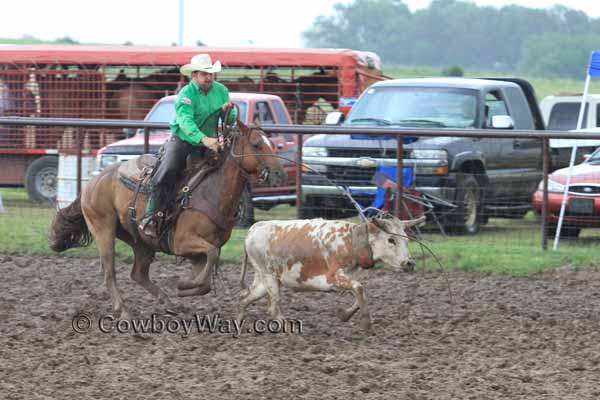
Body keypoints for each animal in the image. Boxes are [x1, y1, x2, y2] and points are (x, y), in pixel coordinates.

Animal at [49, 120, 286, 320]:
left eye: (272, 144)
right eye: (256, 144)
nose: (278, 174)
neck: (212, 191)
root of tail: (93, 181)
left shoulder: (198, 253)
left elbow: (207, 276)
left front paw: (187, 287)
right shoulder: (183, 242)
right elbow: (211, 256)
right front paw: (186, 284)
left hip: (140, 240)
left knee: (138, 273)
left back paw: (168, 302)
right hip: (103, 229)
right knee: (109, 273)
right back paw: (124, 310)